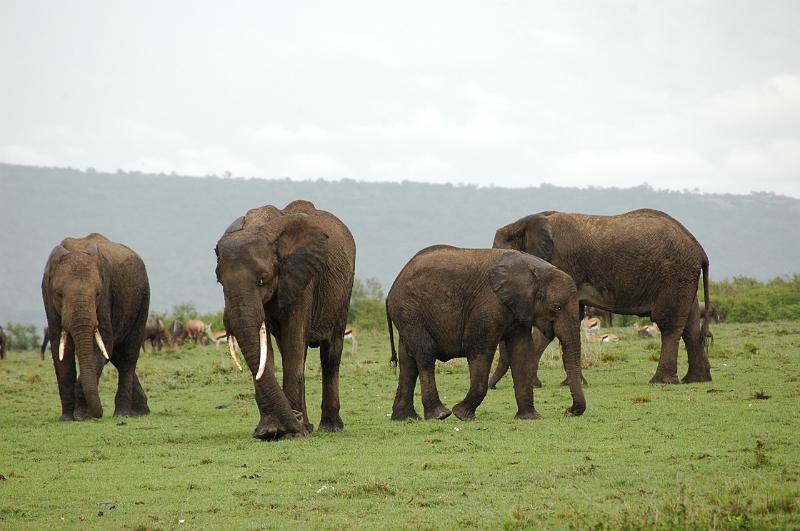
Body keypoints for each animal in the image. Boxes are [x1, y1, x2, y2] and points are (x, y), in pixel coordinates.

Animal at [41, 233, 150, 420]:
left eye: (98, 293)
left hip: (143, 297)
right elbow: (59, 349)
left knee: (128, 355)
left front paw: (82, 416)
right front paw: (67, 419)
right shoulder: (47, 296)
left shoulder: (106, 295)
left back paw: (123, 414)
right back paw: (141, 412)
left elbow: (103, 343)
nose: (98, 414)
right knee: (117, 355)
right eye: (59, 294)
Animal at [215, 200, 356, 440]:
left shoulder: (301, 277)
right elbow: (267, 350)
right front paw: (269, 431)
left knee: (330, 353)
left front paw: (291, 433)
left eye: (263, 279)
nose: (296, 420)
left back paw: (328, 427)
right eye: (219, 281)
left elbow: (293, 339)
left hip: (343, 292)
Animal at [387, 245, 586, 422]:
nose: (568, 411)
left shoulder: (519, 310)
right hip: (409, 310)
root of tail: (393, 286)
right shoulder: (489, 303)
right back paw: (440, 415)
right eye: (556, 307)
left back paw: (405, 419)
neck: (535, 270)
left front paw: (531, 418)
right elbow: (478, 348)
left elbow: (521, 353)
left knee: (408, 361)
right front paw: (462, 415)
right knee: (425, 354)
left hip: (407, 314)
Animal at [489, 209, 712, 387]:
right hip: (684, 278)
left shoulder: (562, 265)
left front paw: (538, 384)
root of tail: (700, 250)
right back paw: (696, 380)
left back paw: (660, 382)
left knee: (669, 323)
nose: (492, 387)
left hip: (675, 274)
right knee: (690, 324)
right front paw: (568, 384)